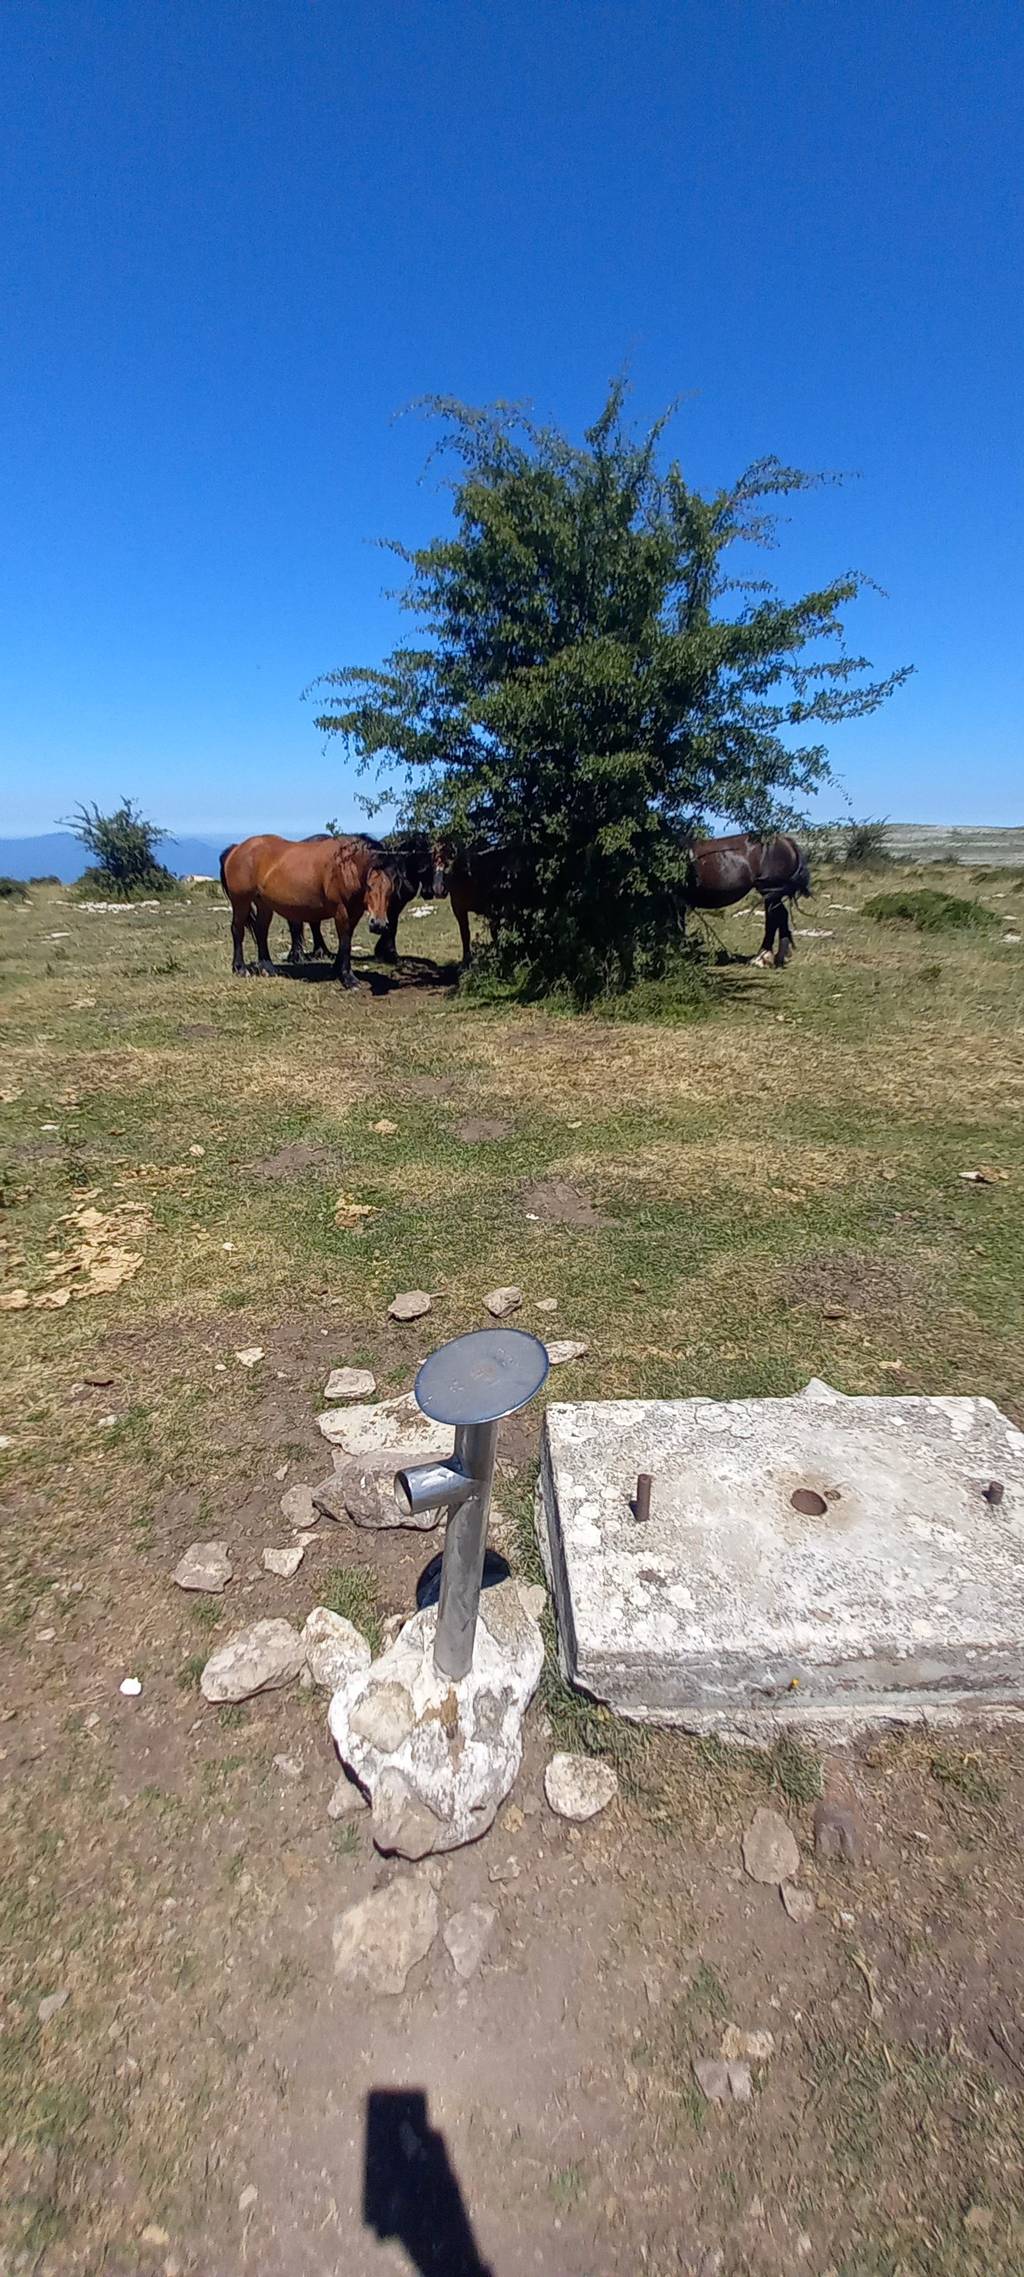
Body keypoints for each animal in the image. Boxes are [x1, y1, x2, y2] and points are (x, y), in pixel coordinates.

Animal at [219, 834, 408, 988]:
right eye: (370, 886)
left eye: (391, 889)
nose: (379, 924)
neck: (344, 867)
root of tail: (236, 848)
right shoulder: (341, 911)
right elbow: (345, 941)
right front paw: (349, 979)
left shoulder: (354, 913)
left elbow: (345, 942)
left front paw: (337, 969)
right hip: (241, 901)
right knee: (237, 930)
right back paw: (240, 968)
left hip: (264, 904)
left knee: (260, 931)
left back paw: (268, 967)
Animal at [683, 832, 810, 967]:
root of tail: (786, 841)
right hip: (770, 893)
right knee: (778, 916)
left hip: (770, 890)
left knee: (776, 916)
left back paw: (762, 958)